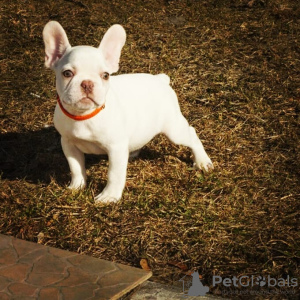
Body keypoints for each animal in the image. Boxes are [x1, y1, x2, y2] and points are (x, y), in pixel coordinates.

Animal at [43, 21, 213, 204]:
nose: (87, 83)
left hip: (174, 129)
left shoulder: (115, 148)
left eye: (105, 75)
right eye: (67, 73)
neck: (84, 115)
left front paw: (110, 196)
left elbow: (114, 174)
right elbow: (75, 167)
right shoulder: (68, 143)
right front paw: (77, 186)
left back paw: (202, 161)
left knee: (191, 134)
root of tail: (160, 79)